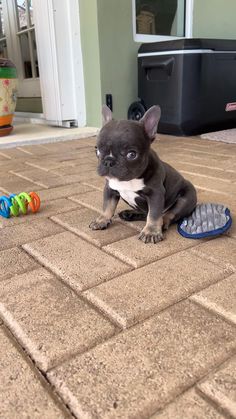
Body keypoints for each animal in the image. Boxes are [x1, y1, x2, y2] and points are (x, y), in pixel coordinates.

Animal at [89, 103, 196, 244]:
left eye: (132, 154)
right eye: (97, 150)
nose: (108, 161)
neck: (128, 180)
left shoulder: (156, 194)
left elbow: (154, 214)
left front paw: (151, 231)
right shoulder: (110, 189)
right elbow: (107, 206)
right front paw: (102, 220)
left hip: (186, 198)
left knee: (169, 214)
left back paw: (162, 222)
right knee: (146, 213)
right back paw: (130, 214)